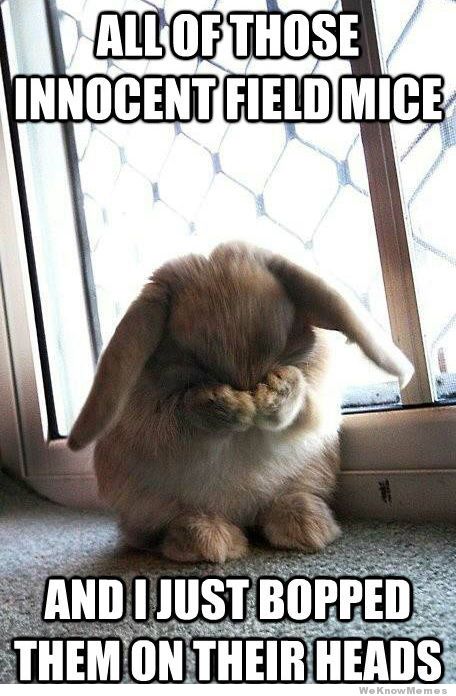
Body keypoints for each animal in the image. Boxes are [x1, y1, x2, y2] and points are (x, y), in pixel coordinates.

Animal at [68, 242, 413, 563]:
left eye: (286, 344)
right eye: (192, 361)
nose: (249, 394)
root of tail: (243, 516)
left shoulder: (317, 393)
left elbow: (303, 398)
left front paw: (274, 392)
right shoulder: (152, 419)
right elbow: (182, 413)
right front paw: (225, 405)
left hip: (312, 472)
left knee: (284, 504)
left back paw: (305, 526)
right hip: (146, 505)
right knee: (159, 530)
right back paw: (209, 541)